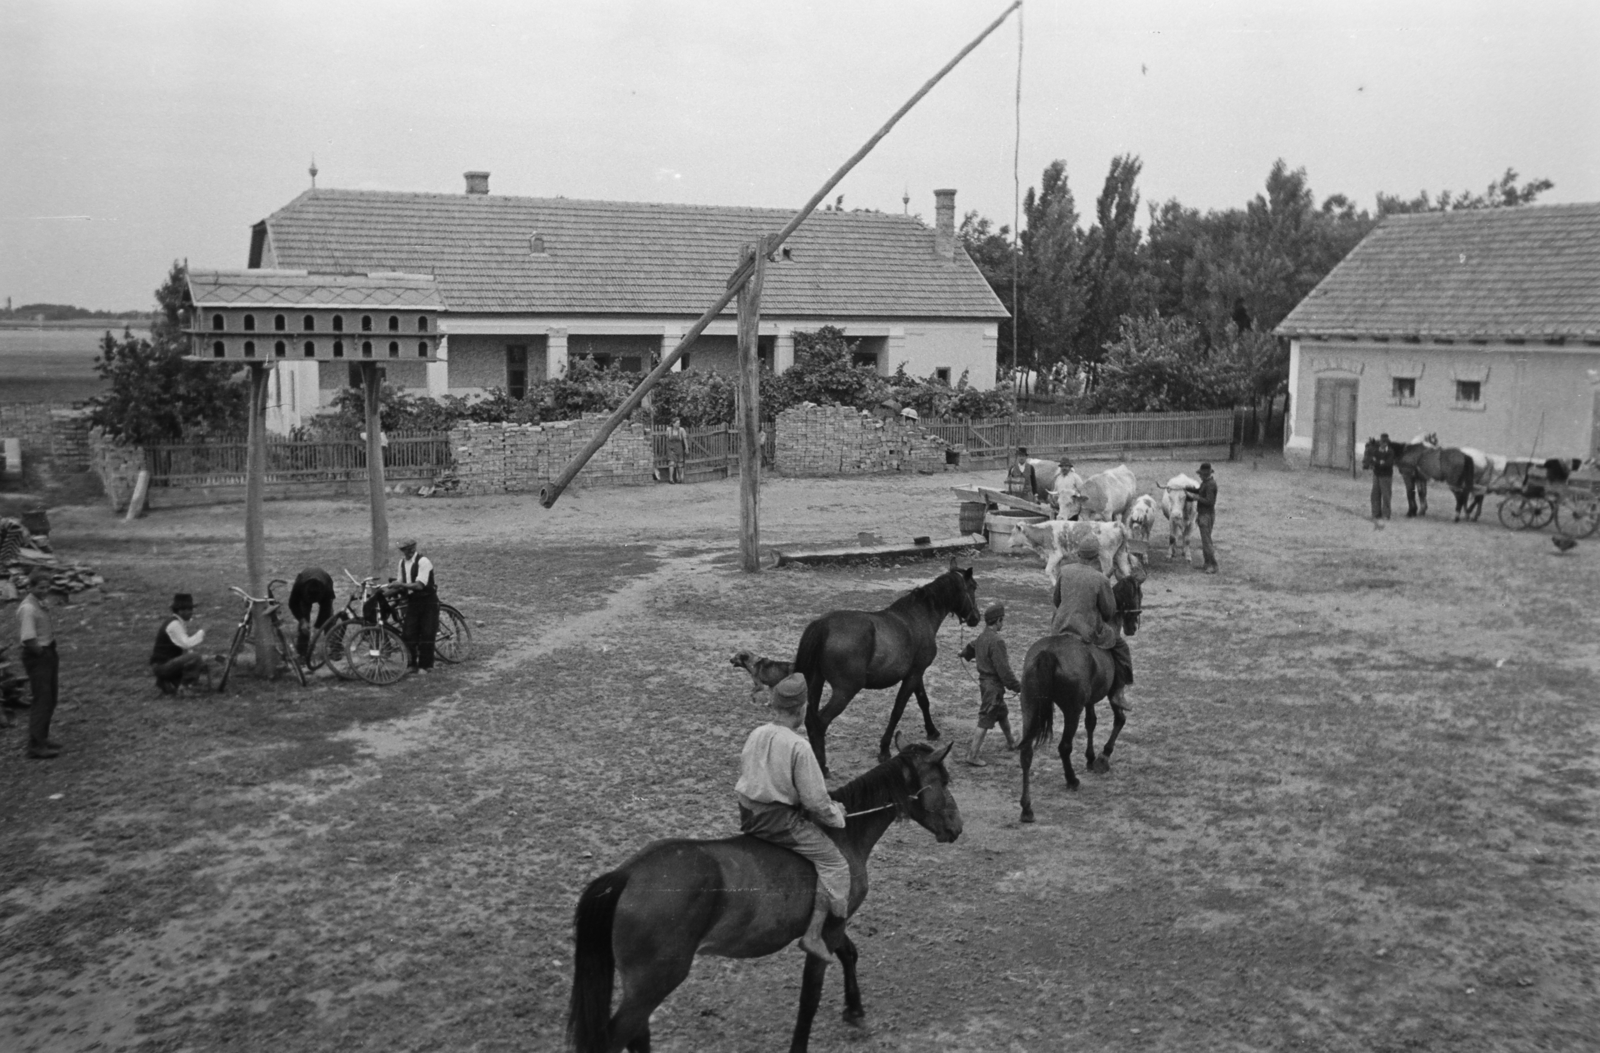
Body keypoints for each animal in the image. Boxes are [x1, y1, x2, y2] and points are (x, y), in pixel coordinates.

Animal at [566, 732, 960, 1049]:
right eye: (944, 780)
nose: (957, 826)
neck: (844, 833)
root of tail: (627, 874)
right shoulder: (829, 929)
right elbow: (809, 999)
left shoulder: (836, 923)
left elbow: (850, 954)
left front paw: (855, 1009)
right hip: (653, 983)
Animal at [793, 556, 979, 771]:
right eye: (973, 587)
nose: (976, 618)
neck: (919, 616)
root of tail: (824, 625)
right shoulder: (914, 675)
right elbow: (898, 709)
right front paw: (884, 749)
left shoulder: (916, 673)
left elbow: (923, 701)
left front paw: (932, 731)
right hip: (845, 690)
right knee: (821, 722)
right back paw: (822, 767)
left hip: (815, 682)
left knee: (810, 719)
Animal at [1017, 569, 1145, 825]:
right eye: (1140, 594)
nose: (1133, 626)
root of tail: (1048, 654)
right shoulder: (1106, 695)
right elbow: (1119, 720)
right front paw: (1102, 757)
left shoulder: (1089, 700)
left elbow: (1091, 723)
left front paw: (1090, 757)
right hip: (1071, 710)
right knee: (1064, 746)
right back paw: (1071, 780)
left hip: (1030, 706)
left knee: (1026, 752)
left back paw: (1027, 808)